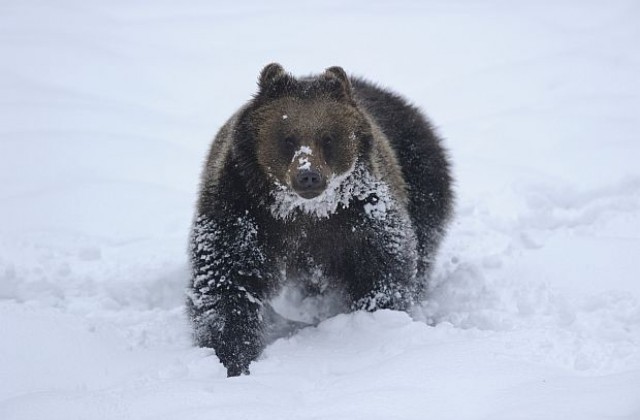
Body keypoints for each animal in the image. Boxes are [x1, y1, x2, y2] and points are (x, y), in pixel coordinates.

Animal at [188, 63, 452, 378]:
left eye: (328, 137)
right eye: (287, 138)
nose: (308, 175)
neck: (305, 213)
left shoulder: (363, 217)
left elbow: (382, 270)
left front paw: (377, 320)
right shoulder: (242, 214)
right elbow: (225, 281)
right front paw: (231, 356)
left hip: (421, 173)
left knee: (424, 243)